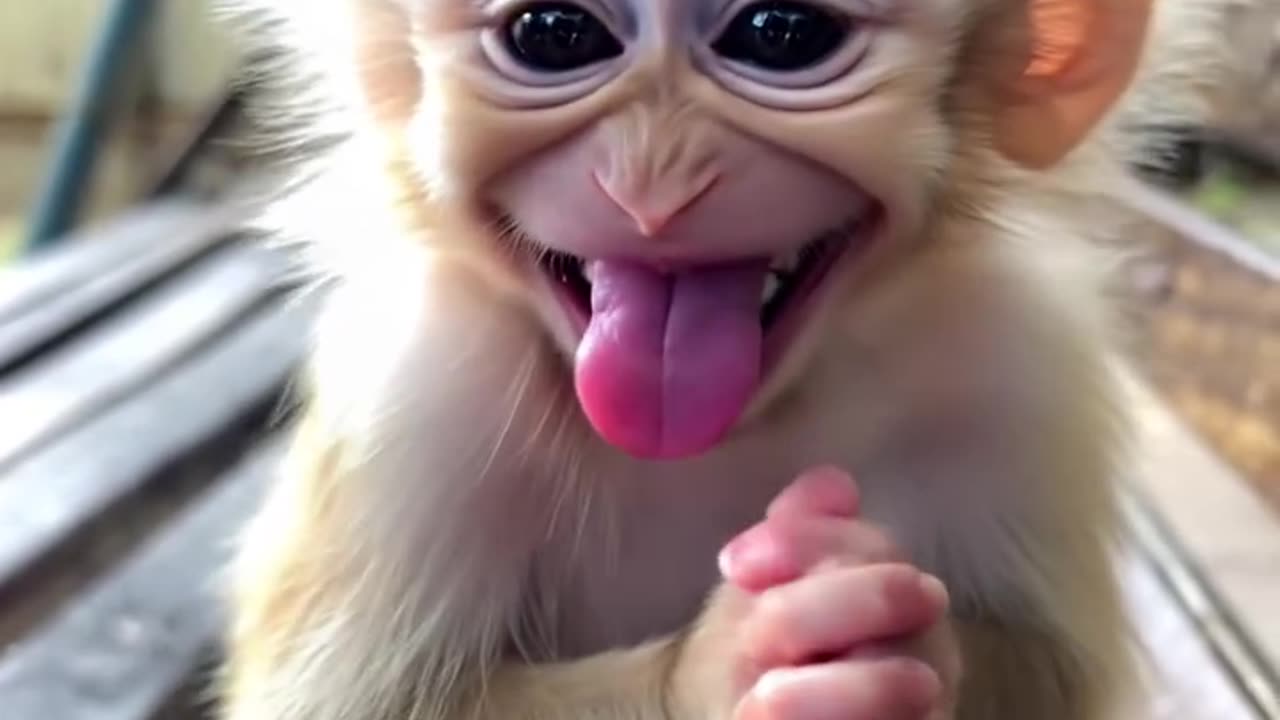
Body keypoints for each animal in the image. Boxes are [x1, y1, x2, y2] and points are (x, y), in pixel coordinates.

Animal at [212, 0, 1236, 718]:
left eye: (781, 33)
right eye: (553, 33)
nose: (653, 184)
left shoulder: (1022, 361)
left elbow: (1053, 669)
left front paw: (910, 647)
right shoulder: (417, 388)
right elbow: (357, 706)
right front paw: (728, 666)